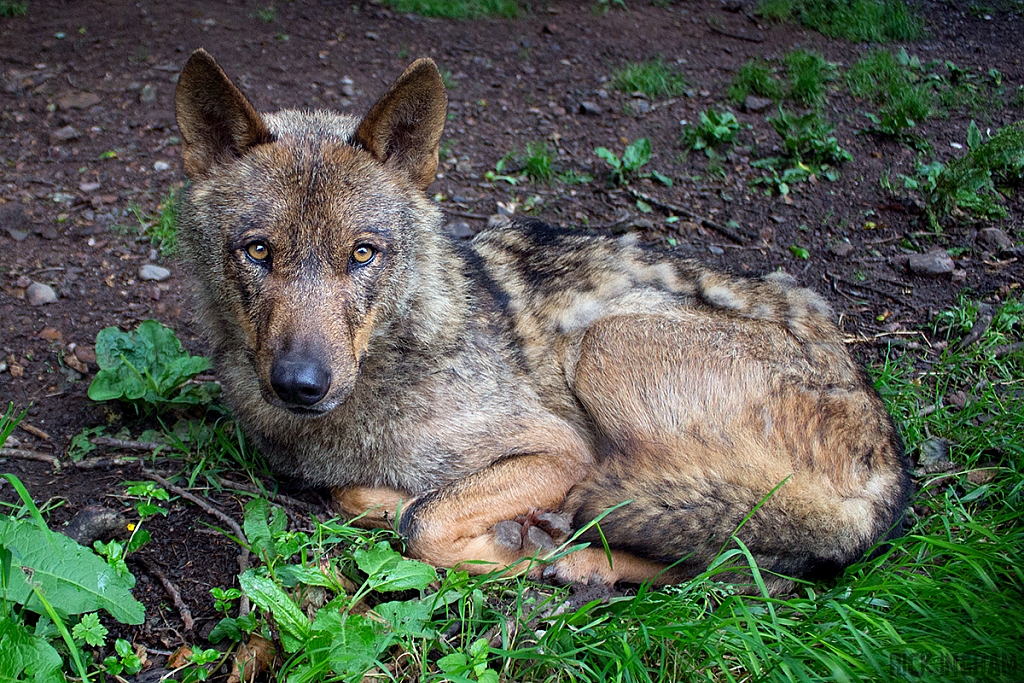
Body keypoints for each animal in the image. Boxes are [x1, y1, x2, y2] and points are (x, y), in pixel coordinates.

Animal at [176, 50, 913, 589]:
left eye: (362, 253)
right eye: (258, 251)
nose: (300, 383)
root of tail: (889, 468)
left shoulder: (561, 448)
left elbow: (424, 525)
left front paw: (511, 548)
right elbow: (366, 499)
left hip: (606, 347)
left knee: (723, 564)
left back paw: (564, 554)